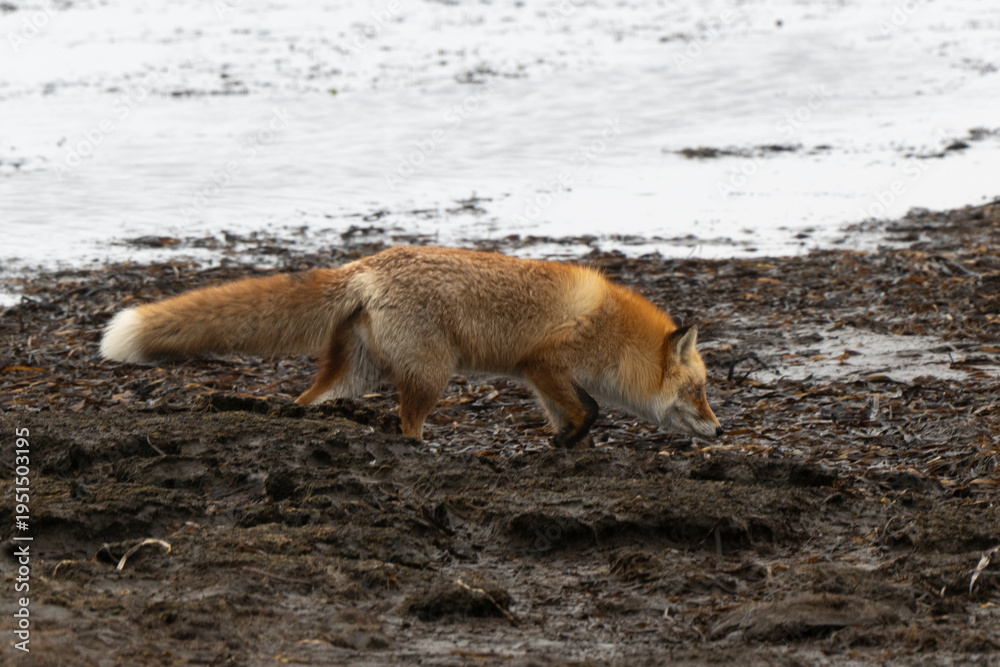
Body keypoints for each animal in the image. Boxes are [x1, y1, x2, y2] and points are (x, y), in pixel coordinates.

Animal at [100, 246, 723, 447]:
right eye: (699, 392)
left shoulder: (538, 376)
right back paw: (424, 449)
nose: (720, 430)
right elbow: (591, 410)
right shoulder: (544, 363)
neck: (615, 336)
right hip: (431, 373)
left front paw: (566, 448)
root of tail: (368, 264)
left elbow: (575, 416)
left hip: (356, 375)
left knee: (307, 402)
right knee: (408, 425)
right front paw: (566, 444)